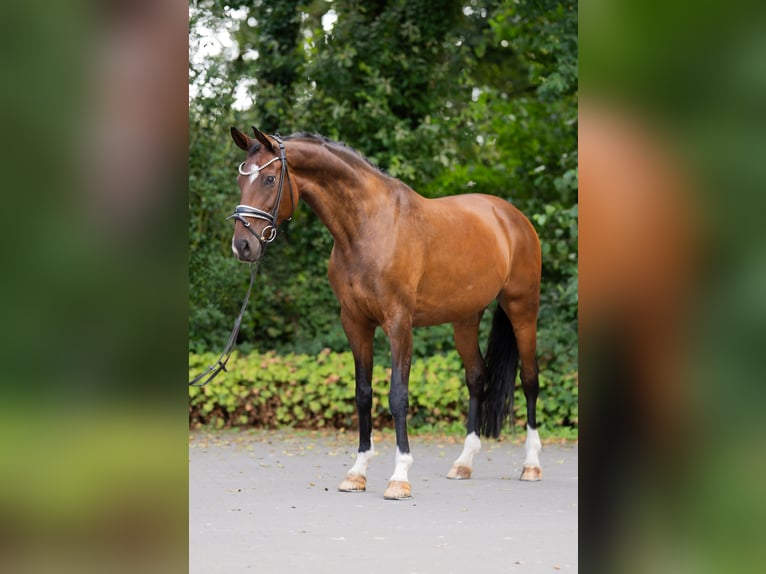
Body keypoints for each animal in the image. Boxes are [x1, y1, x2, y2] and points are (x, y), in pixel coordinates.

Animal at [228, 126, 543, 500]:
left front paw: (399, 477)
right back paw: (463, 463)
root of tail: (511, 217)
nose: (242, 246)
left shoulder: (398, 323)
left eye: (270, 178)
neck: (368, 227)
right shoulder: (355, 323)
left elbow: (398, 396)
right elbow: (363, 394)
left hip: (522, 308)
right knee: (477, 377)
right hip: (465, 318)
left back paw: (531, 465)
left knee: (530, 379)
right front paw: (357, 472)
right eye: (241, 179)